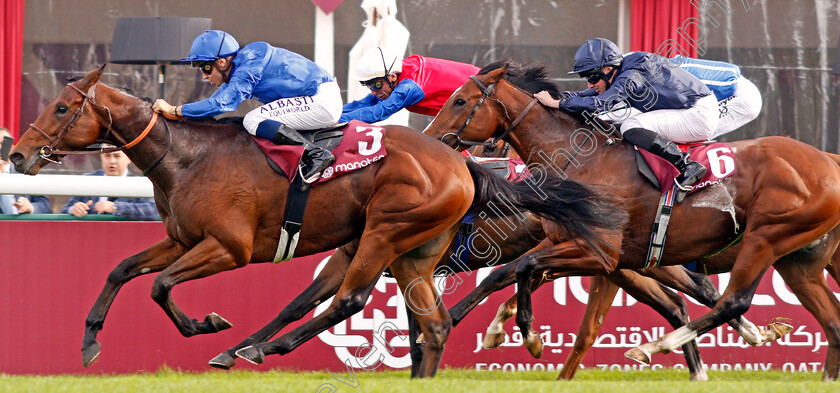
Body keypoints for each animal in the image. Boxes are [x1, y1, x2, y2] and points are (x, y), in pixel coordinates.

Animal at [6, 65, 624, 376]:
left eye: (62, 108)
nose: (18, 155)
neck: (185, 155)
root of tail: (463, 163)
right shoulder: (182, 239)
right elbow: (122, 269)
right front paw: (89, 343)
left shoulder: (227, 247)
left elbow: (159, 287)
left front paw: (208, 325)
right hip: (412, 252)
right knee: (434, 324)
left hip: (385, 231)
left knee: (353, 300)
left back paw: (260, 348)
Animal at [426, 61, 840, 380]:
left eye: (460, 100)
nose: (433, 139)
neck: (579, 160)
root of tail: (826, 160)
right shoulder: (589, 250)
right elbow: (514, 271)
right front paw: (491, 328)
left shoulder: (604, 254)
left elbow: (528, 271)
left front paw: (529, 336)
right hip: (797, 261)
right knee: (828, 320)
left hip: (766, 238)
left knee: (733, 301)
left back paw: (655, 346)